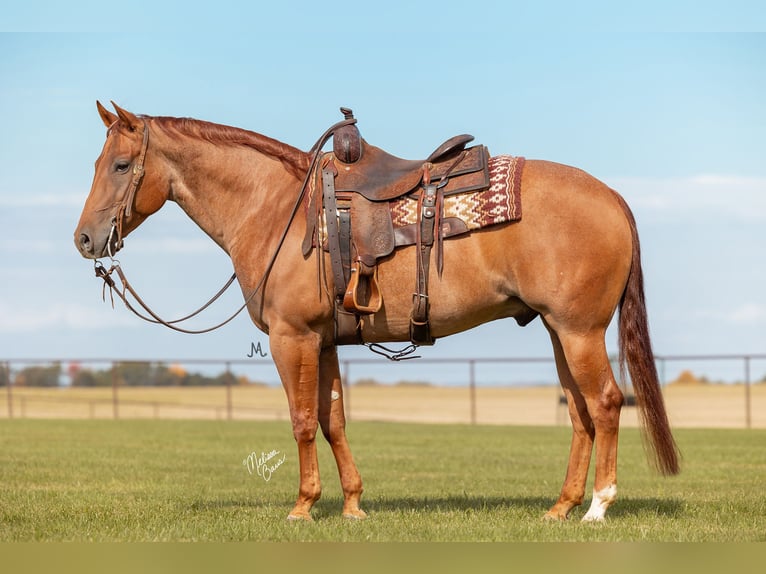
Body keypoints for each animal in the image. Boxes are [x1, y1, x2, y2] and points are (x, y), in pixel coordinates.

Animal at [75, 101, 680, 524]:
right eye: (100, 162)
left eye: (122, 165)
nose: (84, 239)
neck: (275, 209)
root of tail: (612, 197)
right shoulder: (322, 341)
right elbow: (333, 420)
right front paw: (351, 505)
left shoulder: (291, 338)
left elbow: (301, 420)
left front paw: (302, 506)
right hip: (559, 331)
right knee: (580, 412)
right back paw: (561, 506)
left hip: (579, 331)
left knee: (605, 403)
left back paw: (599, 506)